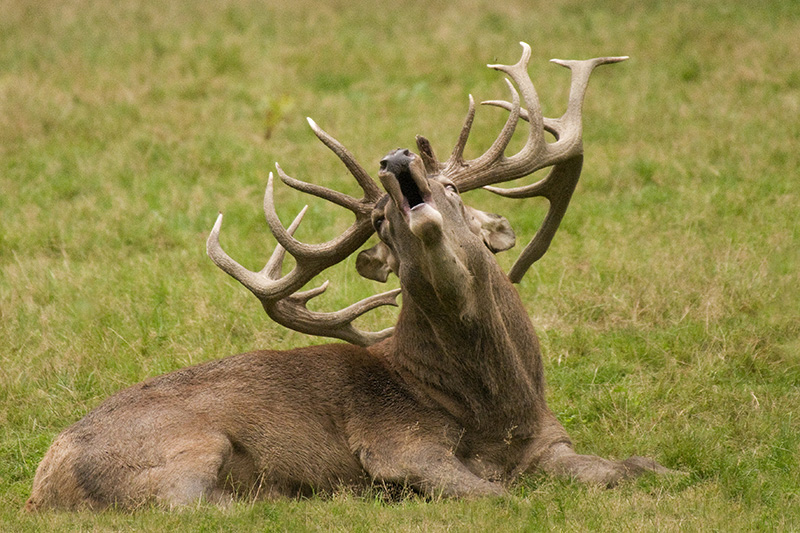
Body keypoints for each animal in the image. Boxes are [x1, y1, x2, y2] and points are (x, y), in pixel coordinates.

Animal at [26, 42, 669, 511]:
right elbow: (499, 495)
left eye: (455, 189)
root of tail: (41, 487)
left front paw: (657, 467)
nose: (396, 158)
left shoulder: (551, 441)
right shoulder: (395, 441)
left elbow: (629, 470)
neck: (496, 412)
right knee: (195, 506)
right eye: (381, 222)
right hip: (185, 445)